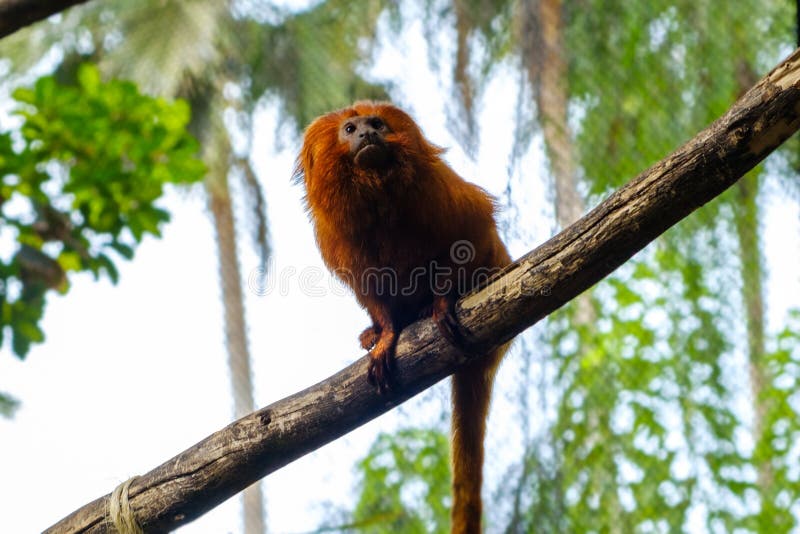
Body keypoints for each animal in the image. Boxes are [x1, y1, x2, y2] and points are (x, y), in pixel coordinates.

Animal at [296, 102, 512, 532]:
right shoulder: (340, 242)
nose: (368, 135)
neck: (377, 195)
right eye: (350, 129)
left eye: (377, 124)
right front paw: (385, 337)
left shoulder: (442, 195)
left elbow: (468, 237)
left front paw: (442, 303)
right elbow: (373, 293)